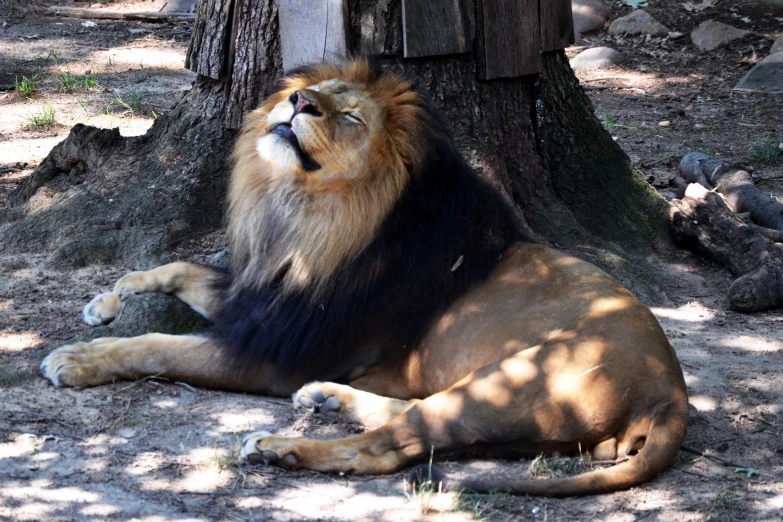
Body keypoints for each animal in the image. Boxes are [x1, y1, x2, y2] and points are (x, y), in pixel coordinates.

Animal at [39, 59, 688, 494]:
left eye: (348, 114)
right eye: (311, 91)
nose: (300, 101)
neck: (304, 217)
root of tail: (671, 392)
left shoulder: (280, 349)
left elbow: (163, 346)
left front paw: (79, 358)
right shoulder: (267, 299)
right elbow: (179, 269)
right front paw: (106, 301)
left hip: (511, 382)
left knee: (391, 447)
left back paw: (281, 446)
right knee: (409, 420)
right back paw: (326, 397)